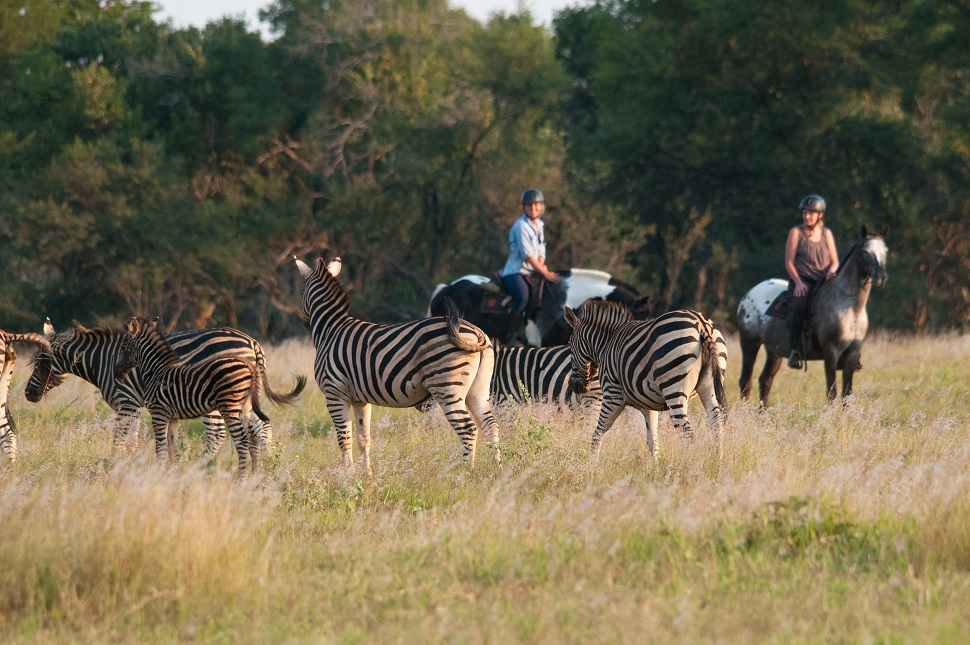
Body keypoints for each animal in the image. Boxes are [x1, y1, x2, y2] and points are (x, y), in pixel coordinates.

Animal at [737, 226, 888, 405]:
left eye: (885, 251)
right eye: (865, 251)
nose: (881, 277)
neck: (850, 308)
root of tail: (748, 294)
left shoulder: (851, 355)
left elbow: (847, 394)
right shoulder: (831, 353)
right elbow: (832, 392)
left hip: (774, 351)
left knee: (765, 381)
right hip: (749, 343)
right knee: (746, 381)